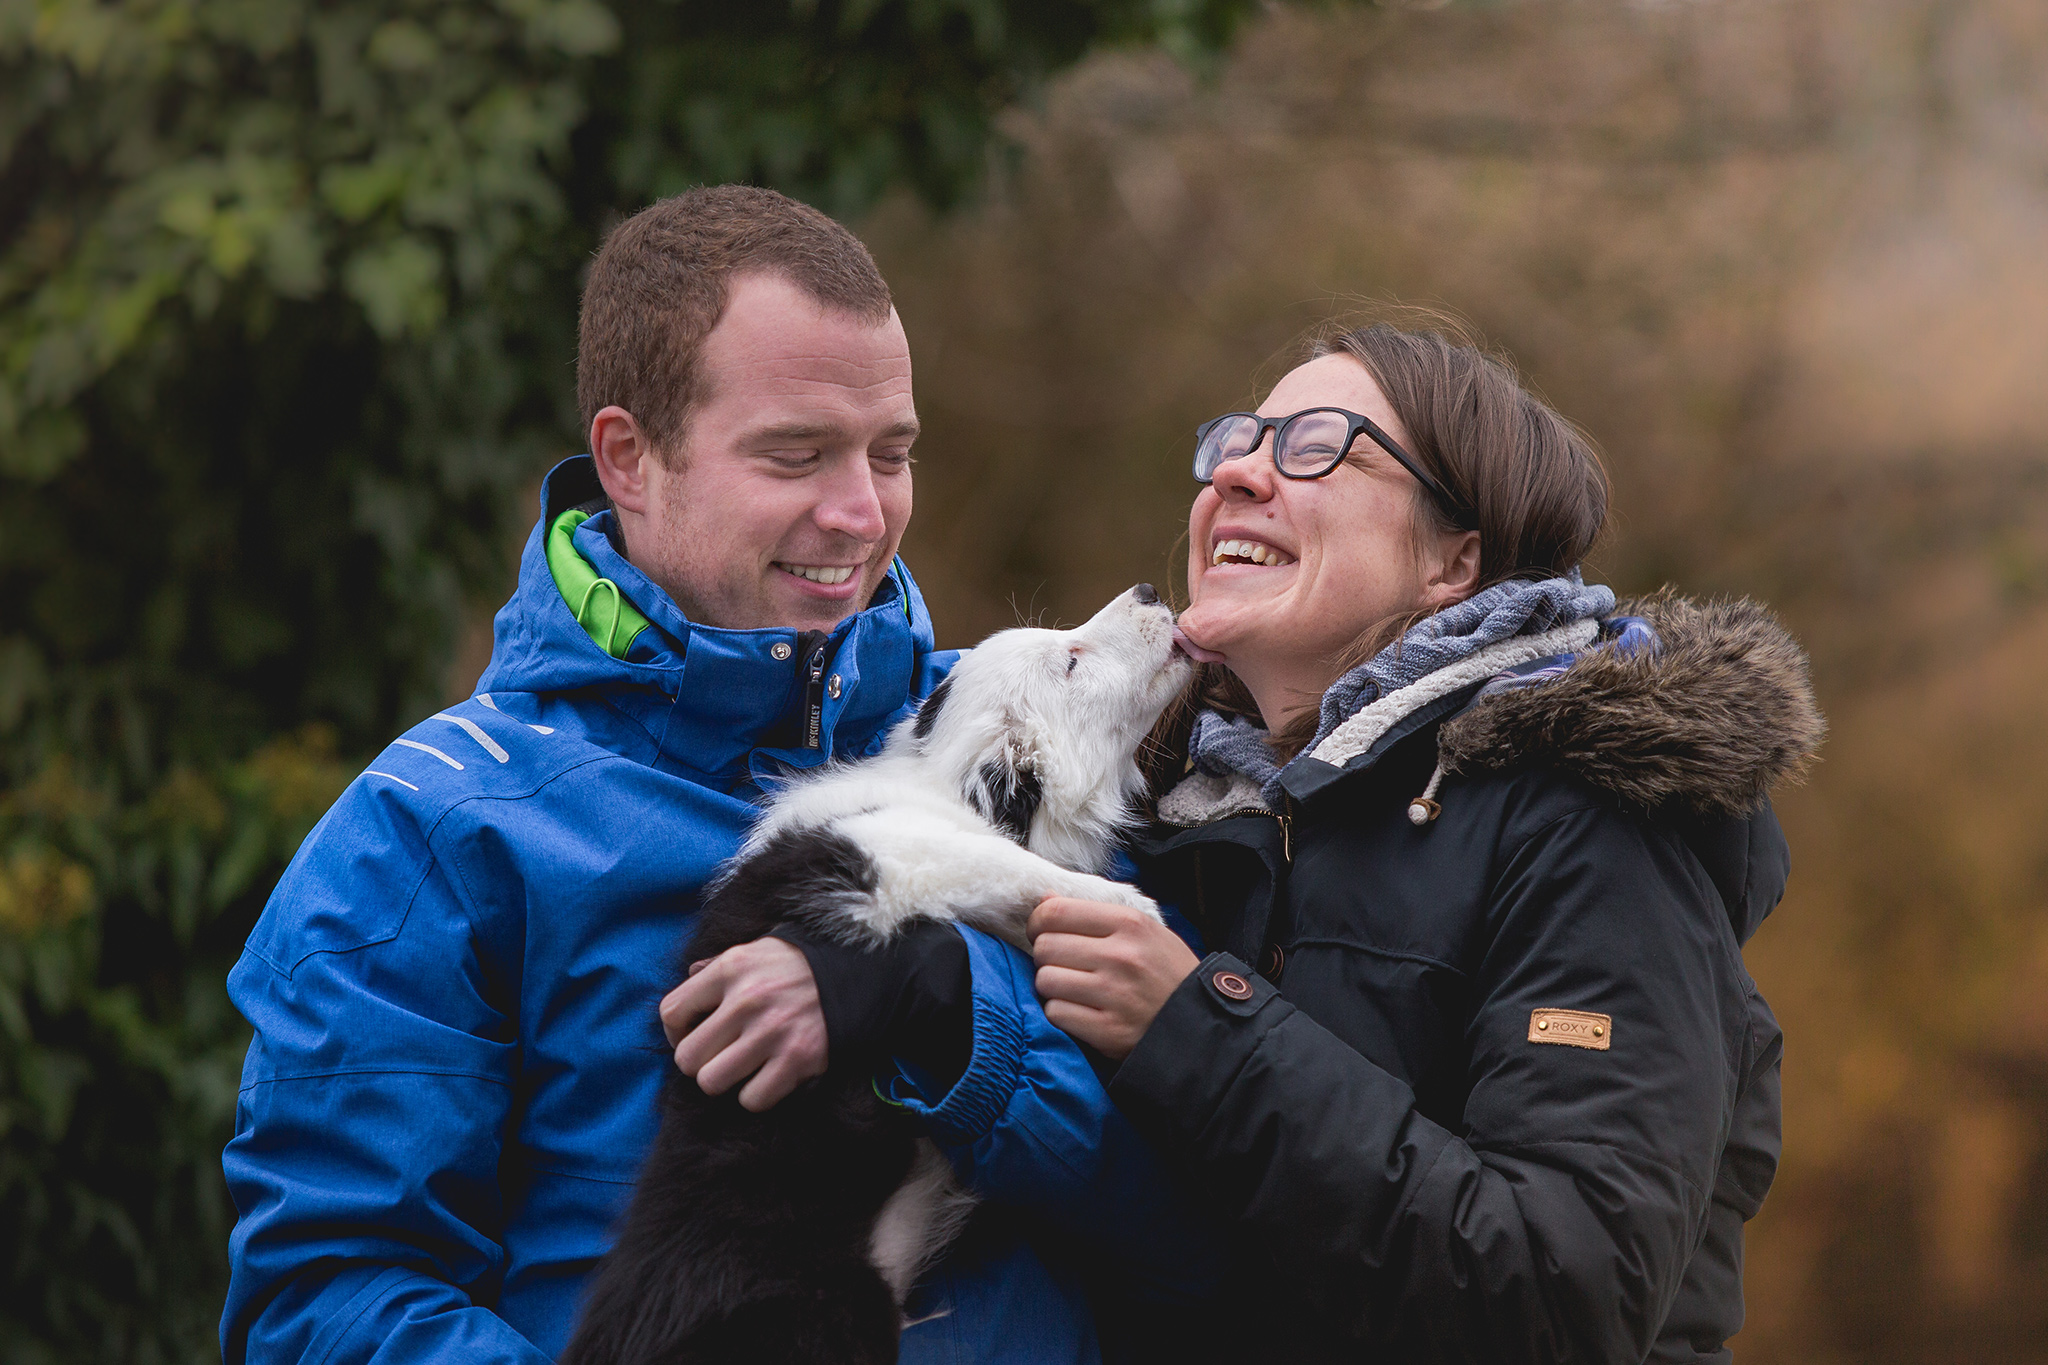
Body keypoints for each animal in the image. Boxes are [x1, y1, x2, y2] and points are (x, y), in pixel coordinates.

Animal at [565, 585, 1196, 1365]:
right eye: (1071, 660)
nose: (1148, 592)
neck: (946, 785)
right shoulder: (878, 859)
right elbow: (990, 859)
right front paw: (1129, 909)